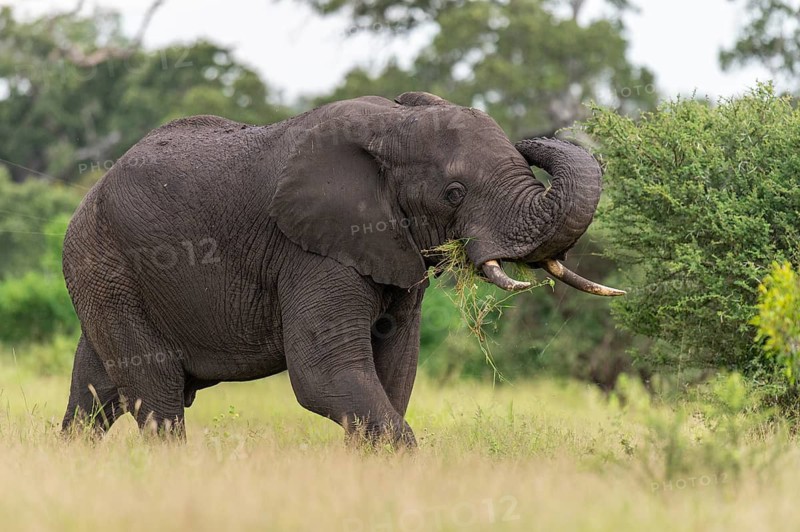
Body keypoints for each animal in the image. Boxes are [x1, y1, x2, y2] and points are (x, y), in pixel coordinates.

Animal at [61, 91, 623, 445]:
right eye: (454, 192)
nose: (535, 137)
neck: (394, 126)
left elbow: (395, 372)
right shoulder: (311, 249)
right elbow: (325, 375)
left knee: (97, 394)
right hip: (106, 265)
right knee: (154, 394)